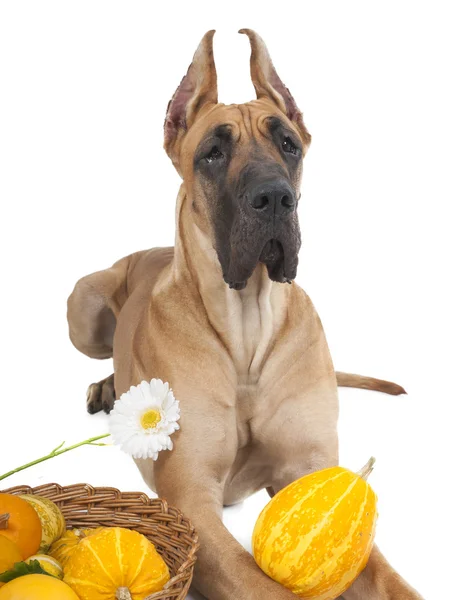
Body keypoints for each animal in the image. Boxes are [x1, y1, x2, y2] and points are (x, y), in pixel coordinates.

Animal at [67, 30, 422, 600]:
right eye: (213, 153)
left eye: (289, 145)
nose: (274, 197)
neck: (247, 330)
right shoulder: (191, 500)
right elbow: (259, 585)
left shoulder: (318, 479)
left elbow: (391, 579)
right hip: (83, 305)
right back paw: (107, 387)